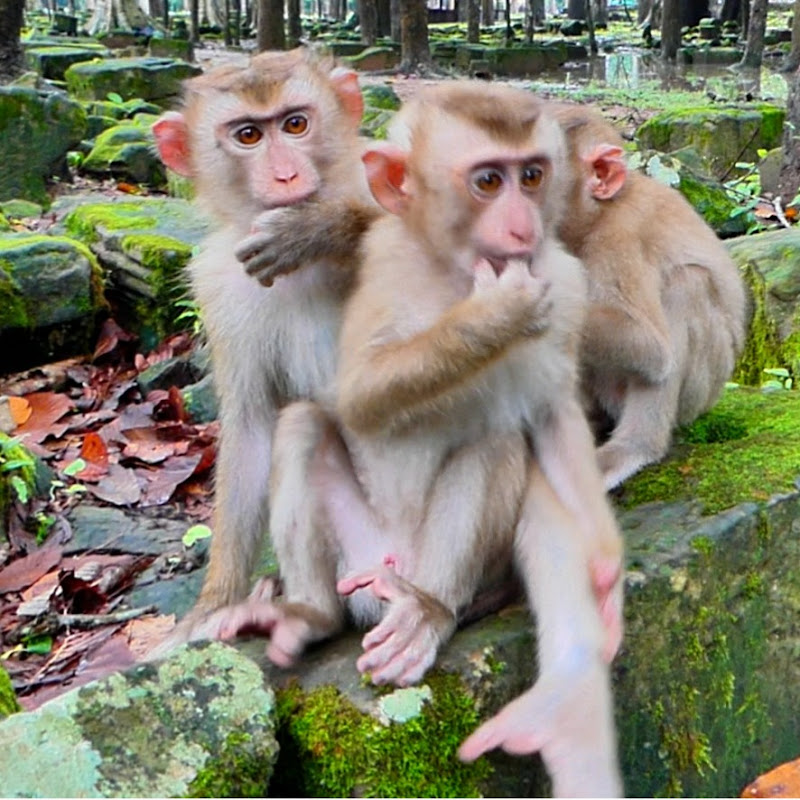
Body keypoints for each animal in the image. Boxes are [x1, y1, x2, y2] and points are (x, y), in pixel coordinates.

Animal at [149, 48, 381, 647]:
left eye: (295, 124)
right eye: (248, 135)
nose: (286, 175)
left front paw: (321, 227)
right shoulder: (220, 286)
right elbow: (252, 430)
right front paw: (211, 607)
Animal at [211, 83, 623, 794]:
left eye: (532, 176)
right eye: (488, 181)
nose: (524, 226)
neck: (454, 273)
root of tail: (391, 569)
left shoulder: (566, 284)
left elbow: (552, 419)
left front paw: (607, 573)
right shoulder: (384, 270)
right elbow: (358, 397)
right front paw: (495, 313)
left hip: (436, 563)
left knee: (493, 440)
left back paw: (428, 611)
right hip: (355, 552)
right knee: (303, 425)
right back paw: (309, 616)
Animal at [549, 102, 748, 489]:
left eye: (531, 175)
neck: (597, 214)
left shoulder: (620, 238)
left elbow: (649, 347)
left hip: (700, 391)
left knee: (687, 287)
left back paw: (636, 447)